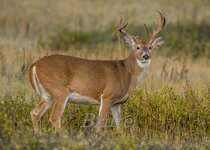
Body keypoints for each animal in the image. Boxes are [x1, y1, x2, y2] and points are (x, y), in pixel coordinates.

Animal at [28, 12, 166, 134]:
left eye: (150, 47)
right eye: (137, 47)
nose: (146, 56)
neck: (126, 73)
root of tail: (34, 65)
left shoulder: (117, 103)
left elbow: (119, 126)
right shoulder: (107, 96)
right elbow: (101, 125)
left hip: (47, 95)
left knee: (34, 113)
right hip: (59, 91)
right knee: (54, 118)